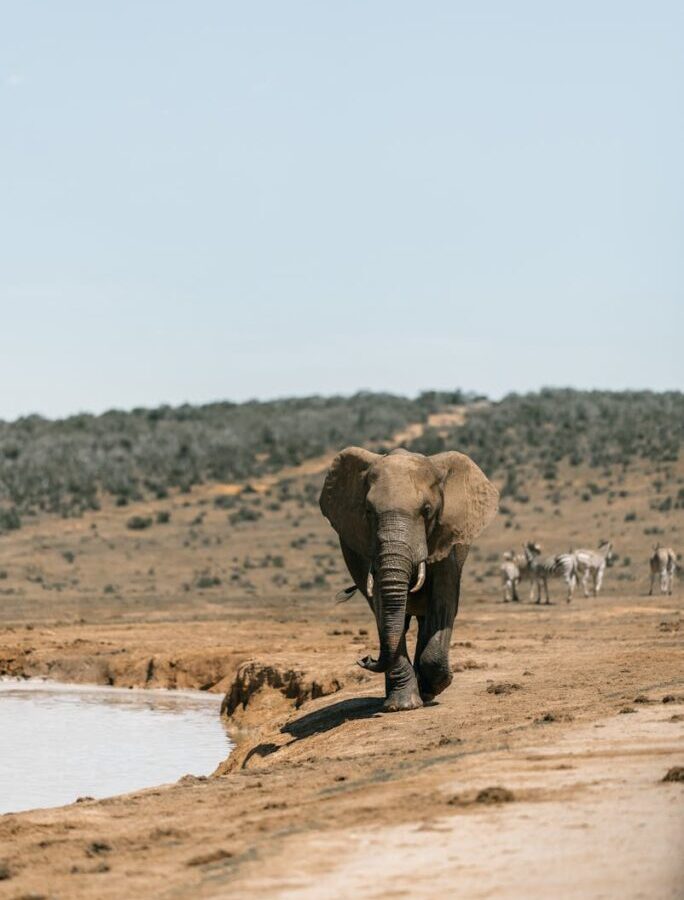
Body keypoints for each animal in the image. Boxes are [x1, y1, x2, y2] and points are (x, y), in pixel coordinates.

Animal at [319, 447, 498, 712]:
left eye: (426, 510)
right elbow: (381, 603)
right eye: (368, 511)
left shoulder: (448, 539)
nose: (365, 658)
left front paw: (433, 688)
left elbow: (443, 600)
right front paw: (403, 705)